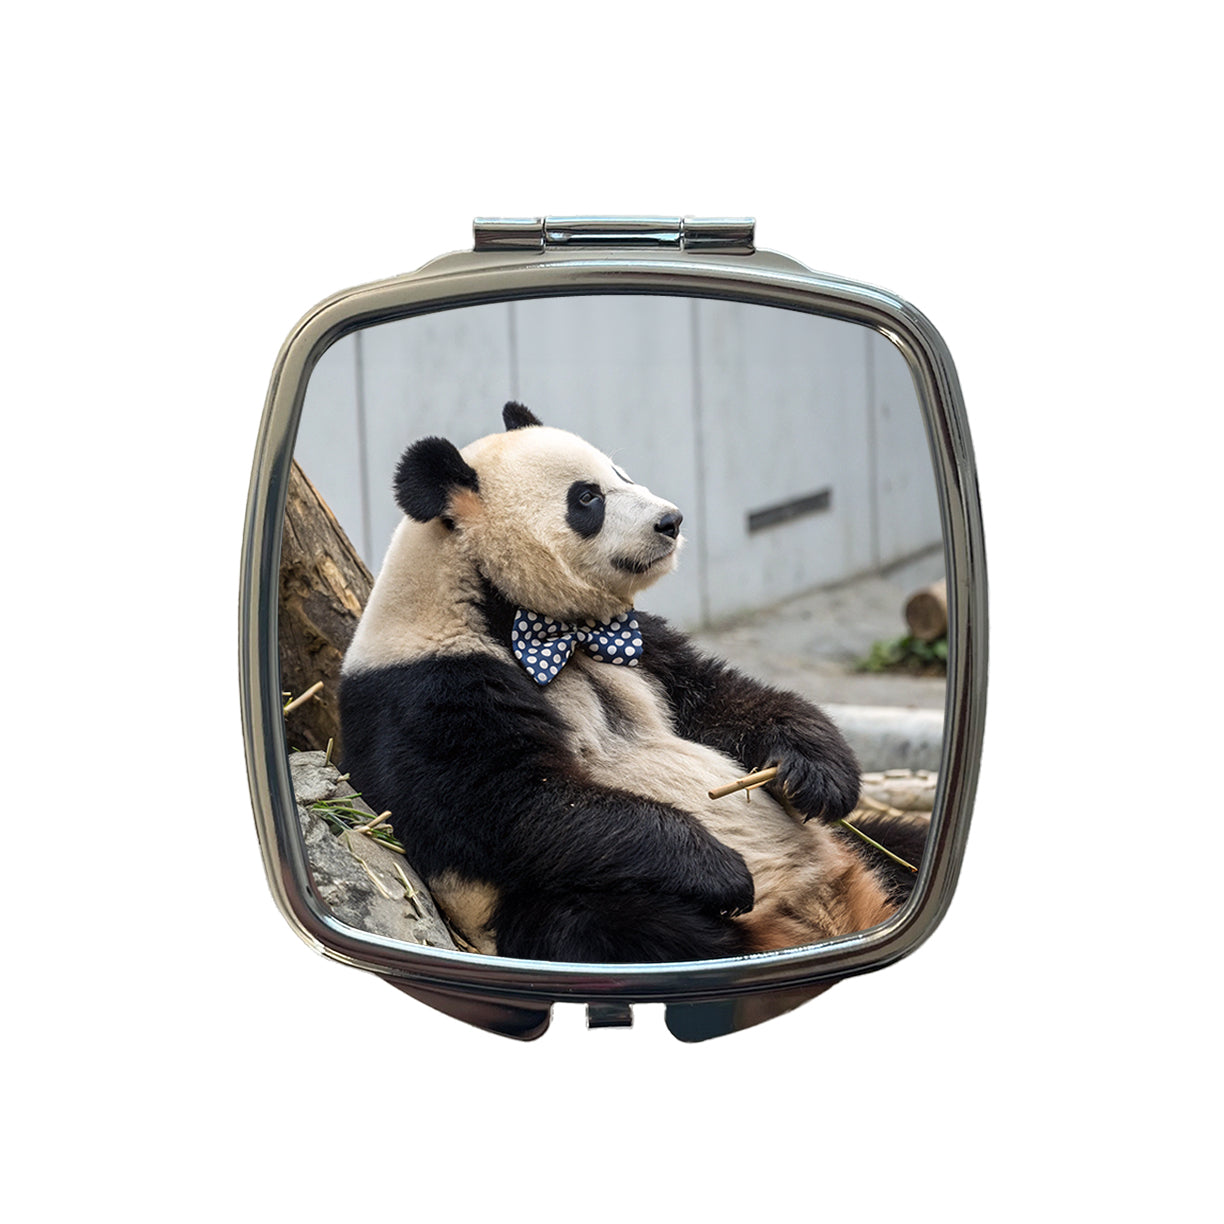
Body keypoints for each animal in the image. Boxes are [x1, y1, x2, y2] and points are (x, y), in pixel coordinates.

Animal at [339, 402, 928, 963]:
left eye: (620, 471)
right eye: (587, 498)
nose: (671, 520)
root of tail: (830, 912)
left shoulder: (641, 648)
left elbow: (722, 700)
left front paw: (816, 773)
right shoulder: (430, 690)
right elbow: (520, 803)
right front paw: (720, 869)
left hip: (859, 848)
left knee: (905, 843)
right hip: (536, 908)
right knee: (611, 923)